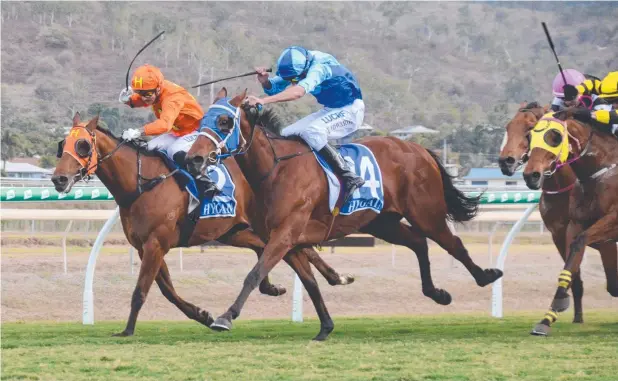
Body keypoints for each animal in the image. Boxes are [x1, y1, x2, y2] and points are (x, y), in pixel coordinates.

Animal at [51, 112, 354, 336]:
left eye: (82, 145)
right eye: (61, 146)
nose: (58, 179)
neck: (142, 184)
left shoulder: (156, 243)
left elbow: (141, 290)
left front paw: (127, 330)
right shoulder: (145, 246)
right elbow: (168, 291)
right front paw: (203, 315)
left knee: (291, 248)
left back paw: (332, 278)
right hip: (236, 230)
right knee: (280, 249)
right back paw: (311, 281)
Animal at [183, 88, 500, 338]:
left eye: (224, 121)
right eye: (203, 120)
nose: (194, 158)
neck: (276, 169)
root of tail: (417, 148)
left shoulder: (285, 235)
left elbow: (254, 273)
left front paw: (225, 317)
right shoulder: (288, 241)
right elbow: (309, 282)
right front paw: (325, 327)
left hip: (426, 213)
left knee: (452, 243)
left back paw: (486, 276)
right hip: (382, 222)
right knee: (418, 243)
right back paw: (437, 293)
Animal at [498, 101, 612, 324]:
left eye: (529, 129)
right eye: (508, 127)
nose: (506, 161)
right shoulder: (559, 234)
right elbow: (574, 275)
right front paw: (575, 317)